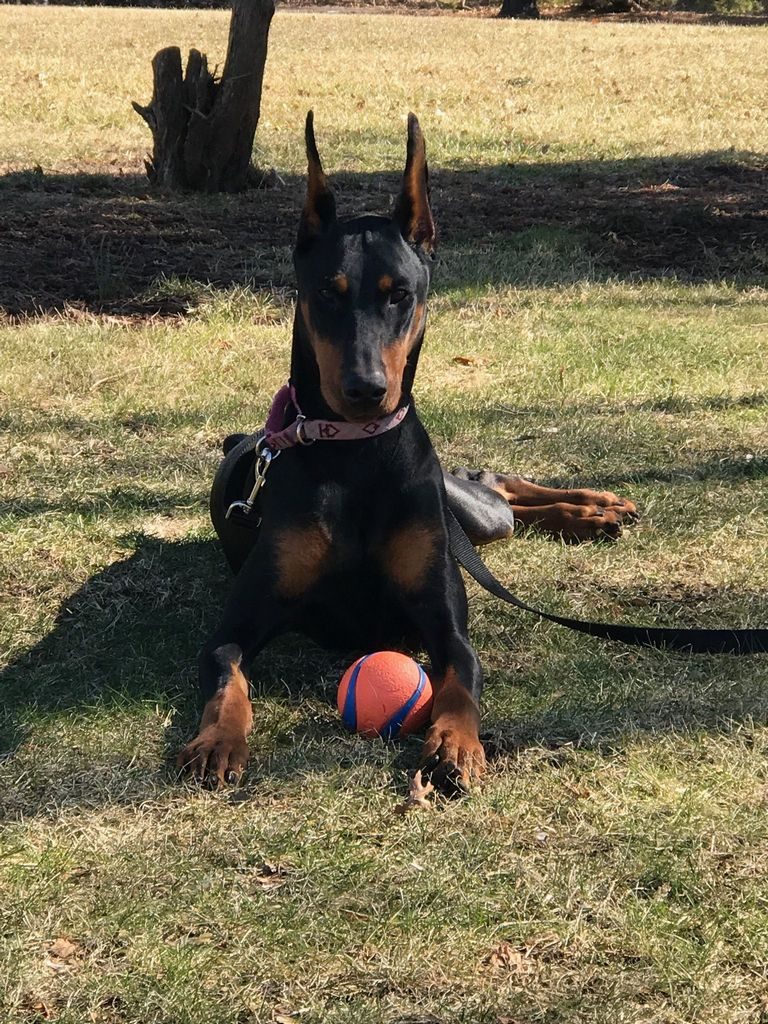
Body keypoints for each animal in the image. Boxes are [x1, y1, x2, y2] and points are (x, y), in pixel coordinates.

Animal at [177, 116, 638, 794]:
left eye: (399, 295)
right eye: (328, 292)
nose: (365, 389)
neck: (357, 454)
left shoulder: (446, 624)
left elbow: (460, 683)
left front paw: (456, 744)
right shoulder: (232, 629)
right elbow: (226, 679)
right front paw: (218, 740)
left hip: (462, 510)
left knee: (496, 485)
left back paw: (595, 509)